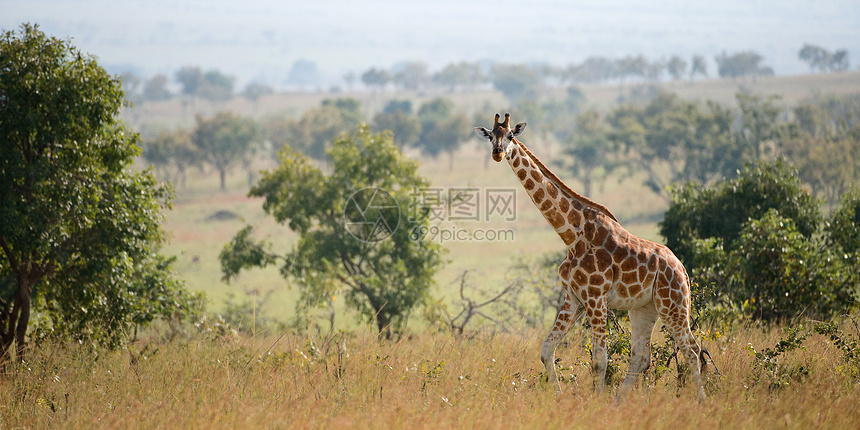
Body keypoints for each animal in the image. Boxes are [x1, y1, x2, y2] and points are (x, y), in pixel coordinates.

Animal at [478, 113, 704, 400]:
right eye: (490, 136)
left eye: (510, 136)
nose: (497, 153)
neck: (573, 235)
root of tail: (682, 269)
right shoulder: (574, 297)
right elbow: (546, 350)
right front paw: (559, 395)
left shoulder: (596, 297)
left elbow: (599, 360)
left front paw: (596, 402)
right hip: (644, 309)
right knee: (641, 357)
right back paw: (618, 401)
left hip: (673, 304)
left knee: (692, 351)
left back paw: (701, 402)